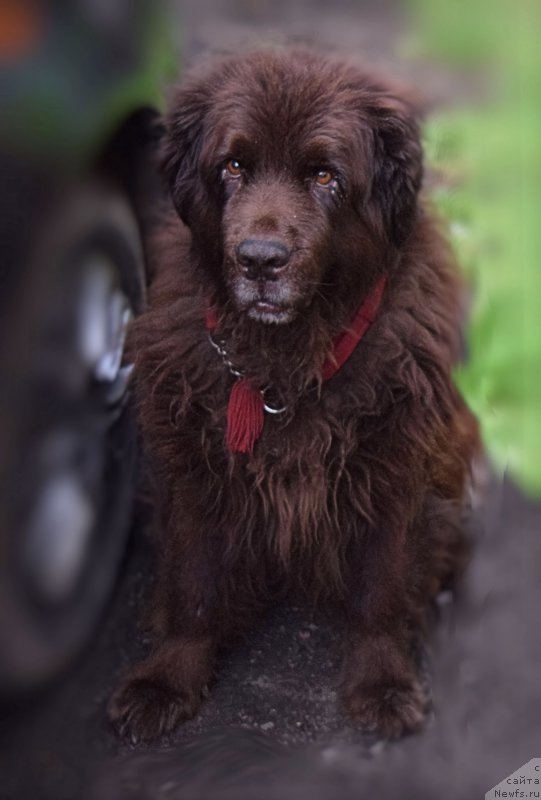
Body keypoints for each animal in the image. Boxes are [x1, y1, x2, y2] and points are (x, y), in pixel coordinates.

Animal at [107, 50, 478, 744]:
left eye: (325, 175)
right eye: (232, 166)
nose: (260, 259)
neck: (286, 365)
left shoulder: (394, 467)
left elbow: (380, 585)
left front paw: (382, 684)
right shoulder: (198, 472)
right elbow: (194, 584)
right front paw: (167, 680)